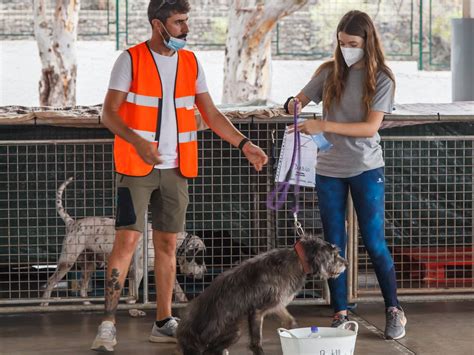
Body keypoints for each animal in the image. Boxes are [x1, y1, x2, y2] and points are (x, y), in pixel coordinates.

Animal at [39, 178, 205, 306]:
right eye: (199, 258)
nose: (205, 272)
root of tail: (72, 223)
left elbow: (178, 289)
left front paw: (184, 301)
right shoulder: (137, 270)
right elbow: (133, 288)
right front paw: (131, 303)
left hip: (89, 265)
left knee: (82, 286)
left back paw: (86, 303)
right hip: (67, 261)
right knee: (50, 282)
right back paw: (44, 303)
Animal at [176, 236, 346, 355]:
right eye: (334, 255)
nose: (347, 263)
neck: (298, 260)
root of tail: (186, 338)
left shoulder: (277, 304)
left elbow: (291, 322)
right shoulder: (257, 311)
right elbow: (256, 342)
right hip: (234, 330)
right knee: (210, 350)